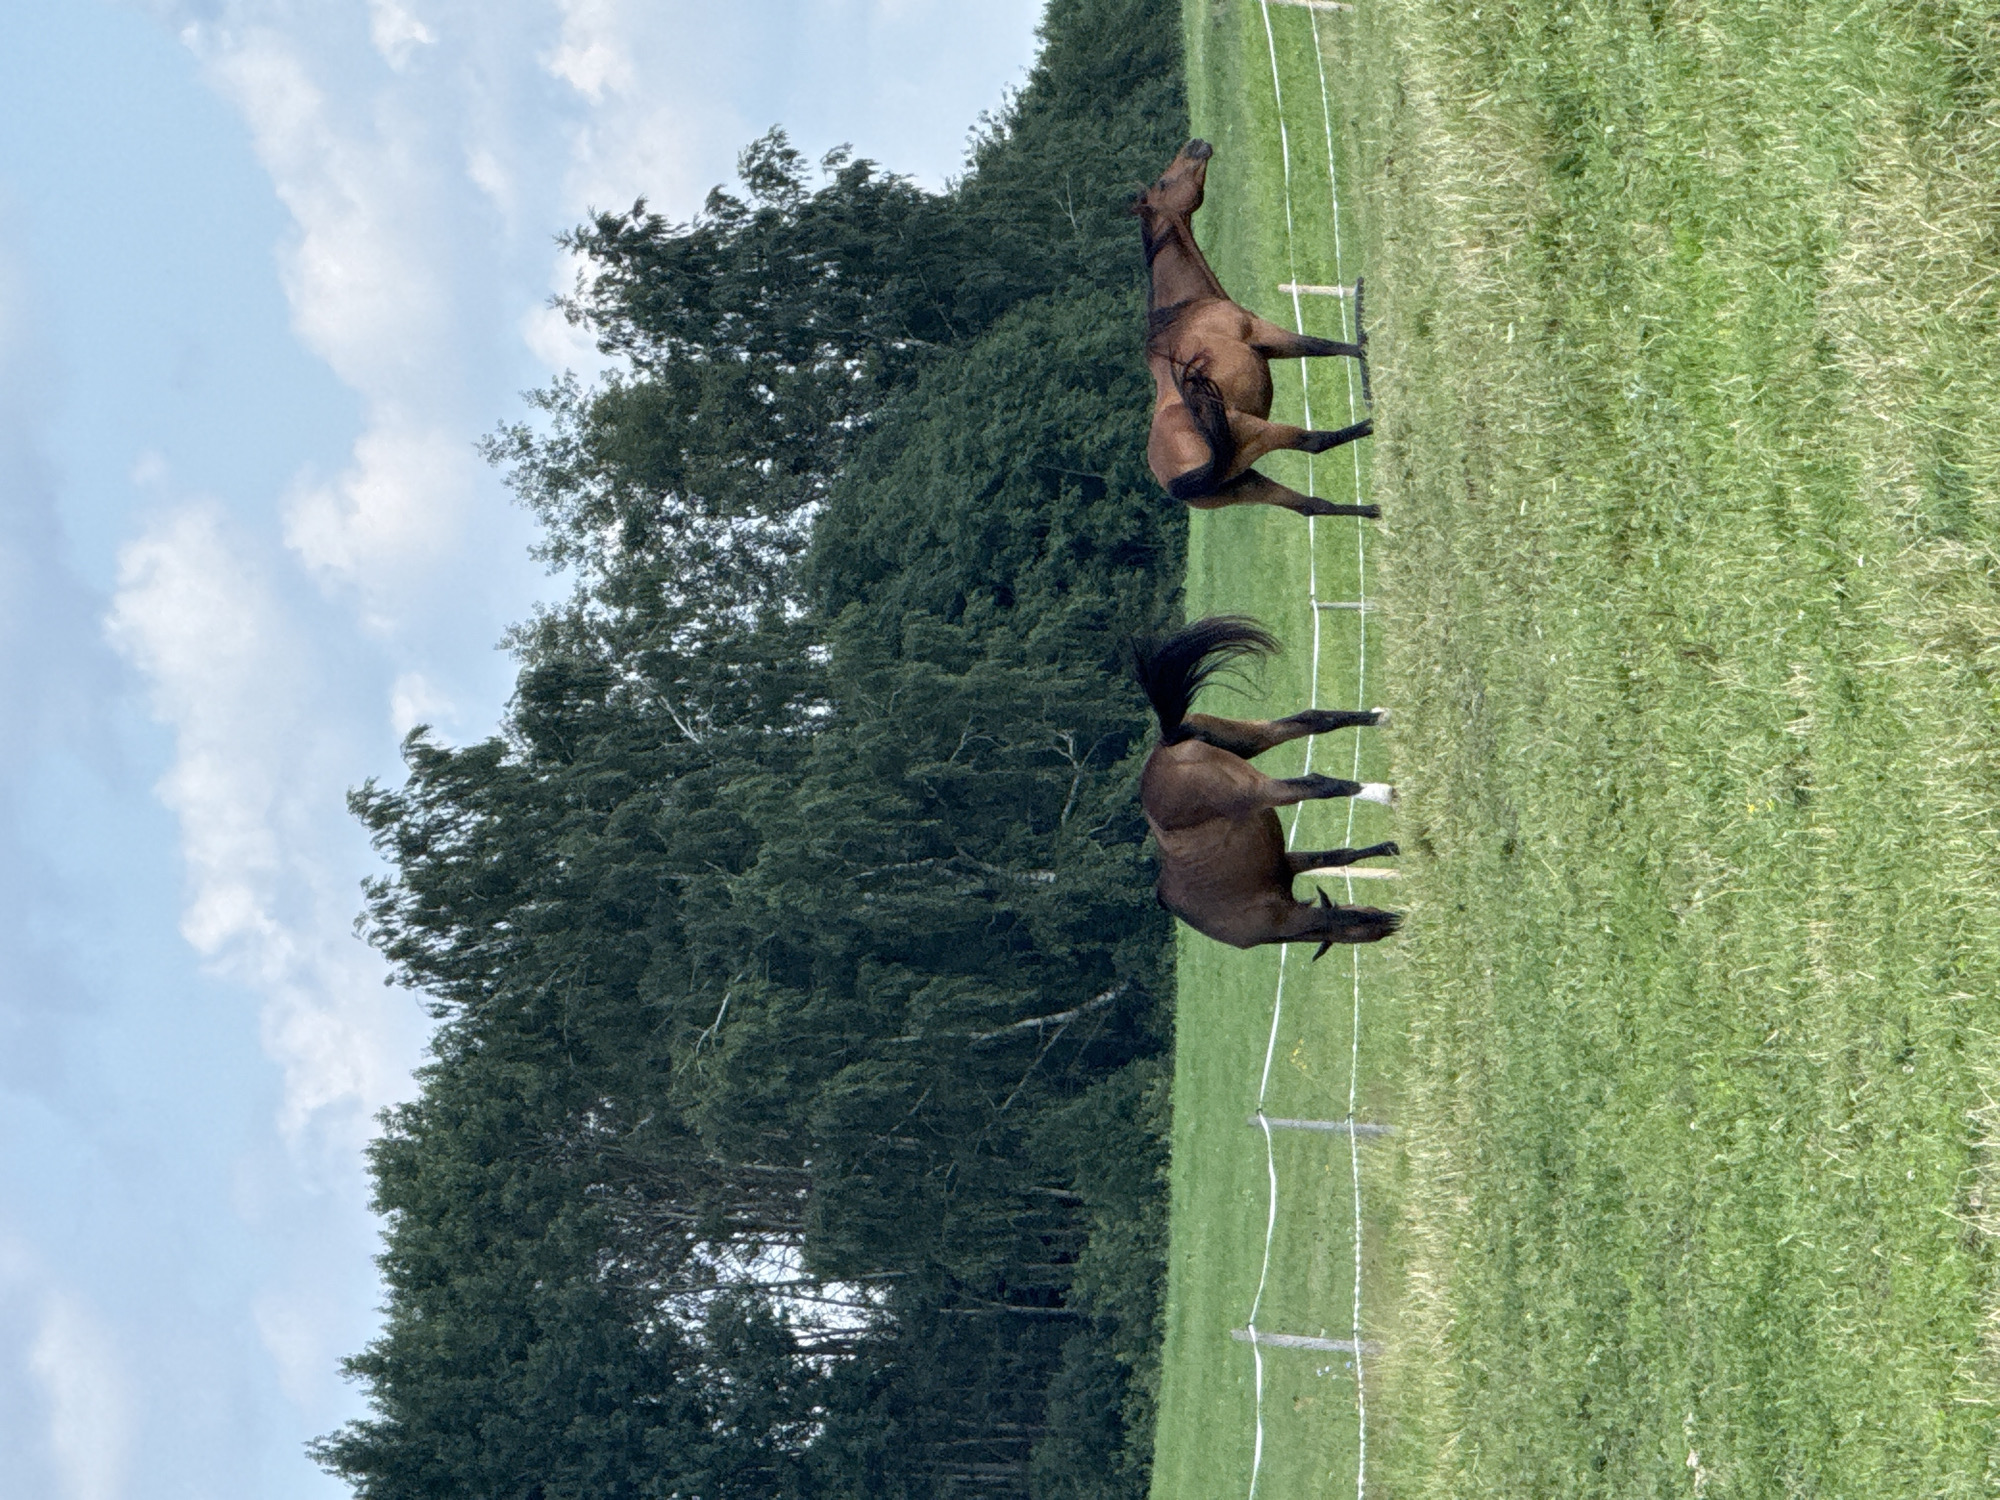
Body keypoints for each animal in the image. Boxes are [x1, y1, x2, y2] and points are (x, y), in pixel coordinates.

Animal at [1132, 139, 1377, 521]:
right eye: (1163, 183)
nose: (1196, 145)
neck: (1187, 311)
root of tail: (1173, 481)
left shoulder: (1270, 348)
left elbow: (1322, 347)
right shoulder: (1262, 333)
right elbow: (1321, 345)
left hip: (1247, 483)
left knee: (1310, 506)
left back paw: (1376, 511)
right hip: (1260, 432)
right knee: (1314, 443)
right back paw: (1370, 426)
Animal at [1133, 617, 1401, 957]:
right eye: (1370, 931)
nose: (1396, 922)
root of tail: (1168, 742)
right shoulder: (1289, 862)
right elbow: (1339, 856)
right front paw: (1390, 849)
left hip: (1258, 788)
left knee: (1317, 783)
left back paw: (1385, 789)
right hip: (1253, 741)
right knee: (1312, 721)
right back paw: (1380, 721)